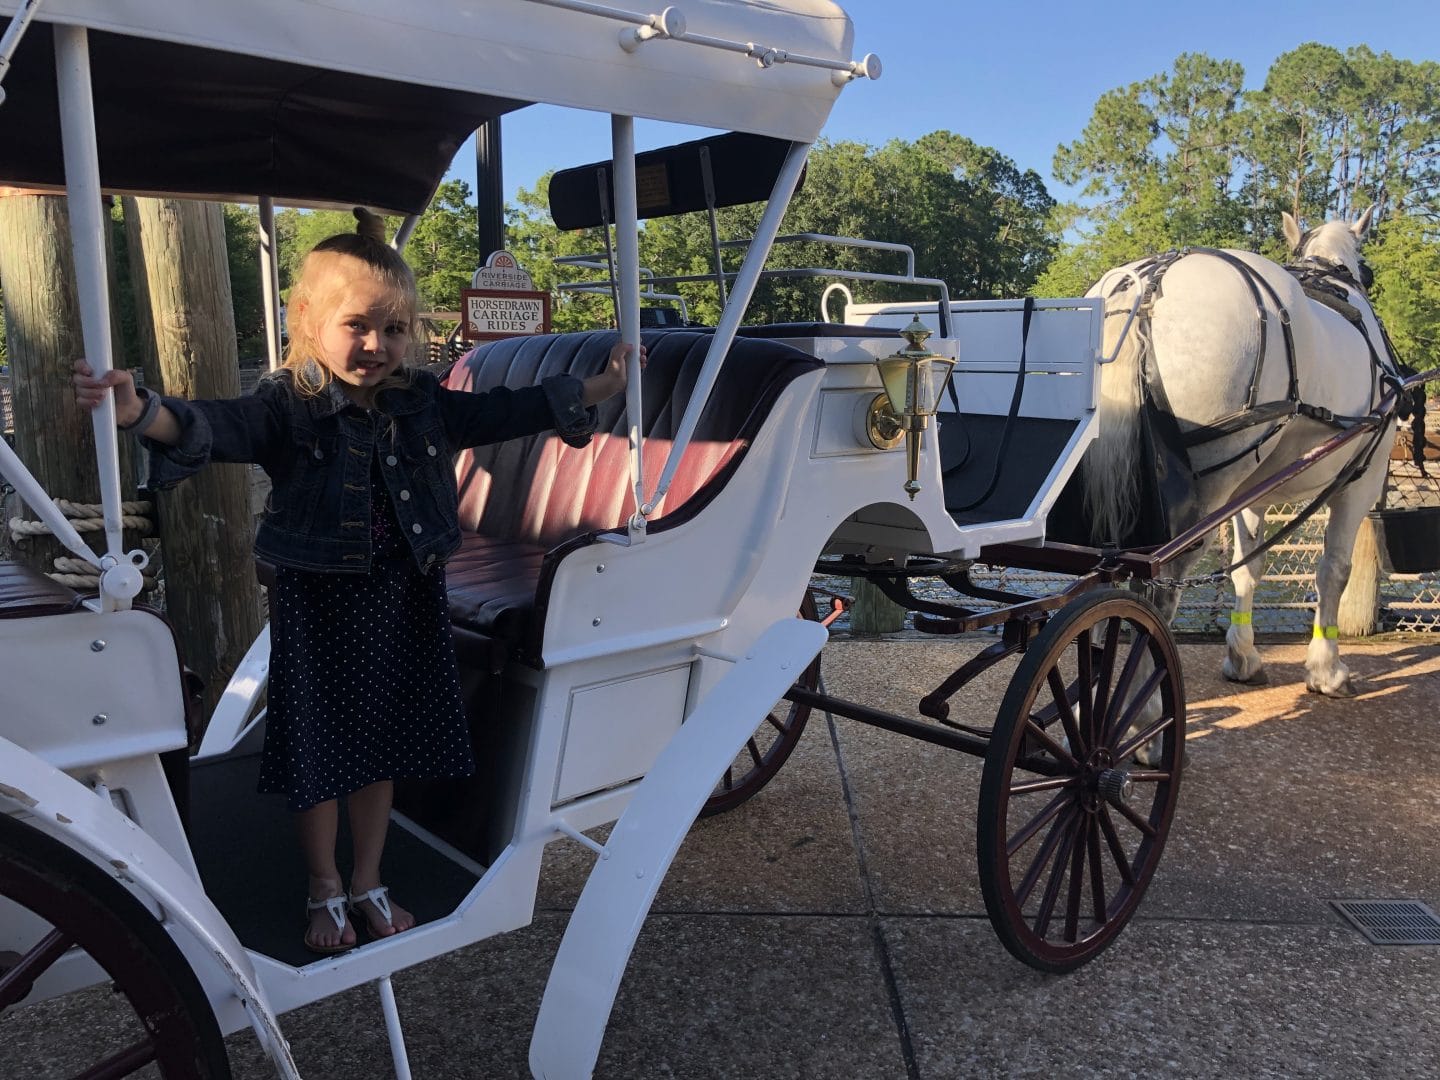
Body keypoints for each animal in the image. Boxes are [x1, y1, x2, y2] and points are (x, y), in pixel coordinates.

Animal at [1082, 208, 1399, 702]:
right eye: (1367, 270)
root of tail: (1148, 280)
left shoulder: (1252, 494)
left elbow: (1248, 570)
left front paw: (1243, 657)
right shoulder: (1359, 482)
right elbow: (1334, 571)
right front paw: (1326, 669)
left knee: (1104, 578)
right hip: (1203, 493)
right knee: (1157, 589)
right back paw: (1144, 707)